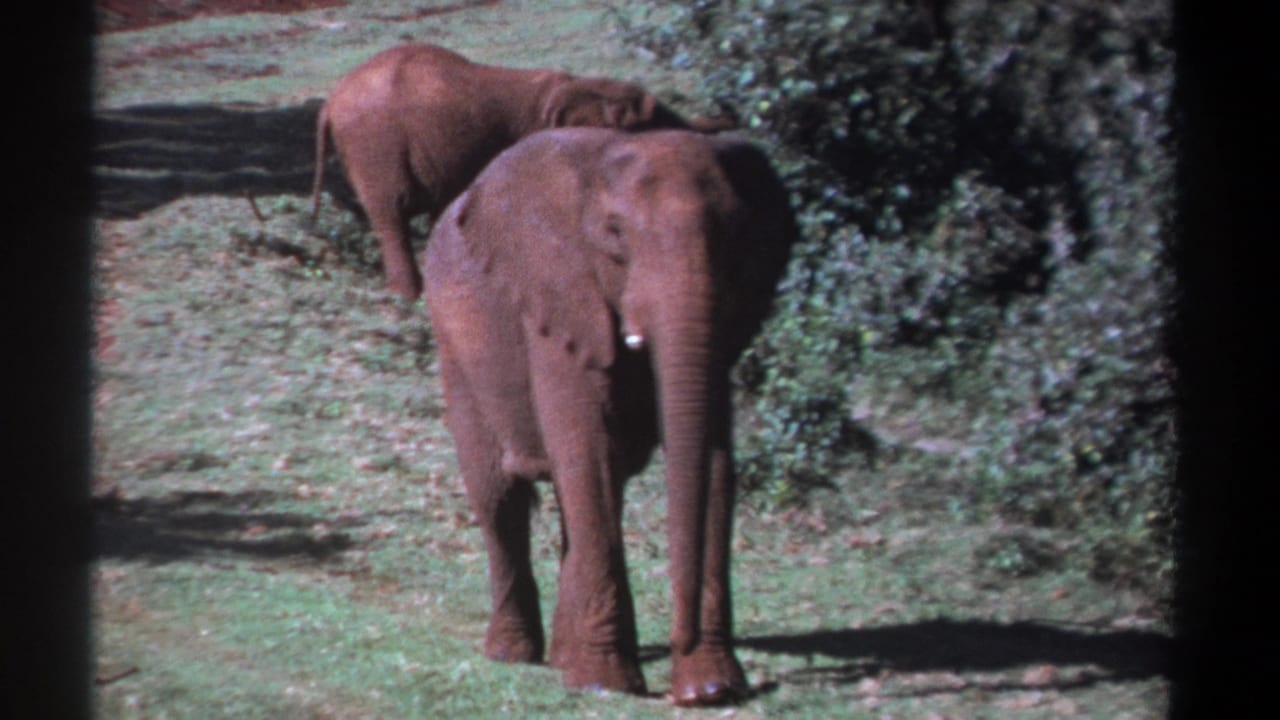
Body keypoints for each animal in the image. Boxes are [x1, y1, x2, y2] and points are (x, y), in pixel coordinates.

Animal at [310, 43, 736, 299]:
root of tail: (330, 102)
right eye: (648, 124)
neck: (575, 86)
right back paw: (409, 297)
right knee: (391, 214)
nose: (728, 109)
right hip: (374, 145)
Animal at [422, 127, 797, 705]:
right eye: (616, 234)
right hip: (455, 344)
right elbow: (588, 451)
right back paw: (513, 655)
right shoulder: (559, 299)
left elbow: (715, 465)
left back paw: (562, 659)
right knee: (499, 495)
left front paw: (712, 689)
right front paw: (607, 685)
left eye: (734, 234)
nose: (679, 640)